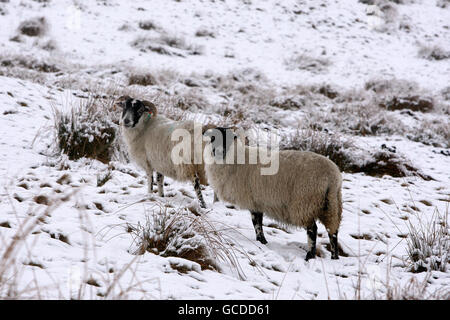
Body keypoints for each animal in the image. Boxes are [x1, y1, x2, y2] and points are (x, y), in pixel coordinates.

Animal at [202, 127, 342, 260]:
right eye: (213, 138)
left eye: (229, 138)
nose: (218, 151)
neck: (237, 159)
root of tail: (332, 176)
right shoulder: (257, 201)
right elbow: (258, 221)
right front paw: (262, 241)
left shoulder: (252, 200)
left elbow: (256, 223)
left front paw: (261, 241)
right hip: (332, 205)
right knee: (333, 231)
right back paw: (334, 257)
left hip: (305, 203)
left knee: (313, 230)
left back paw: (310, 255)